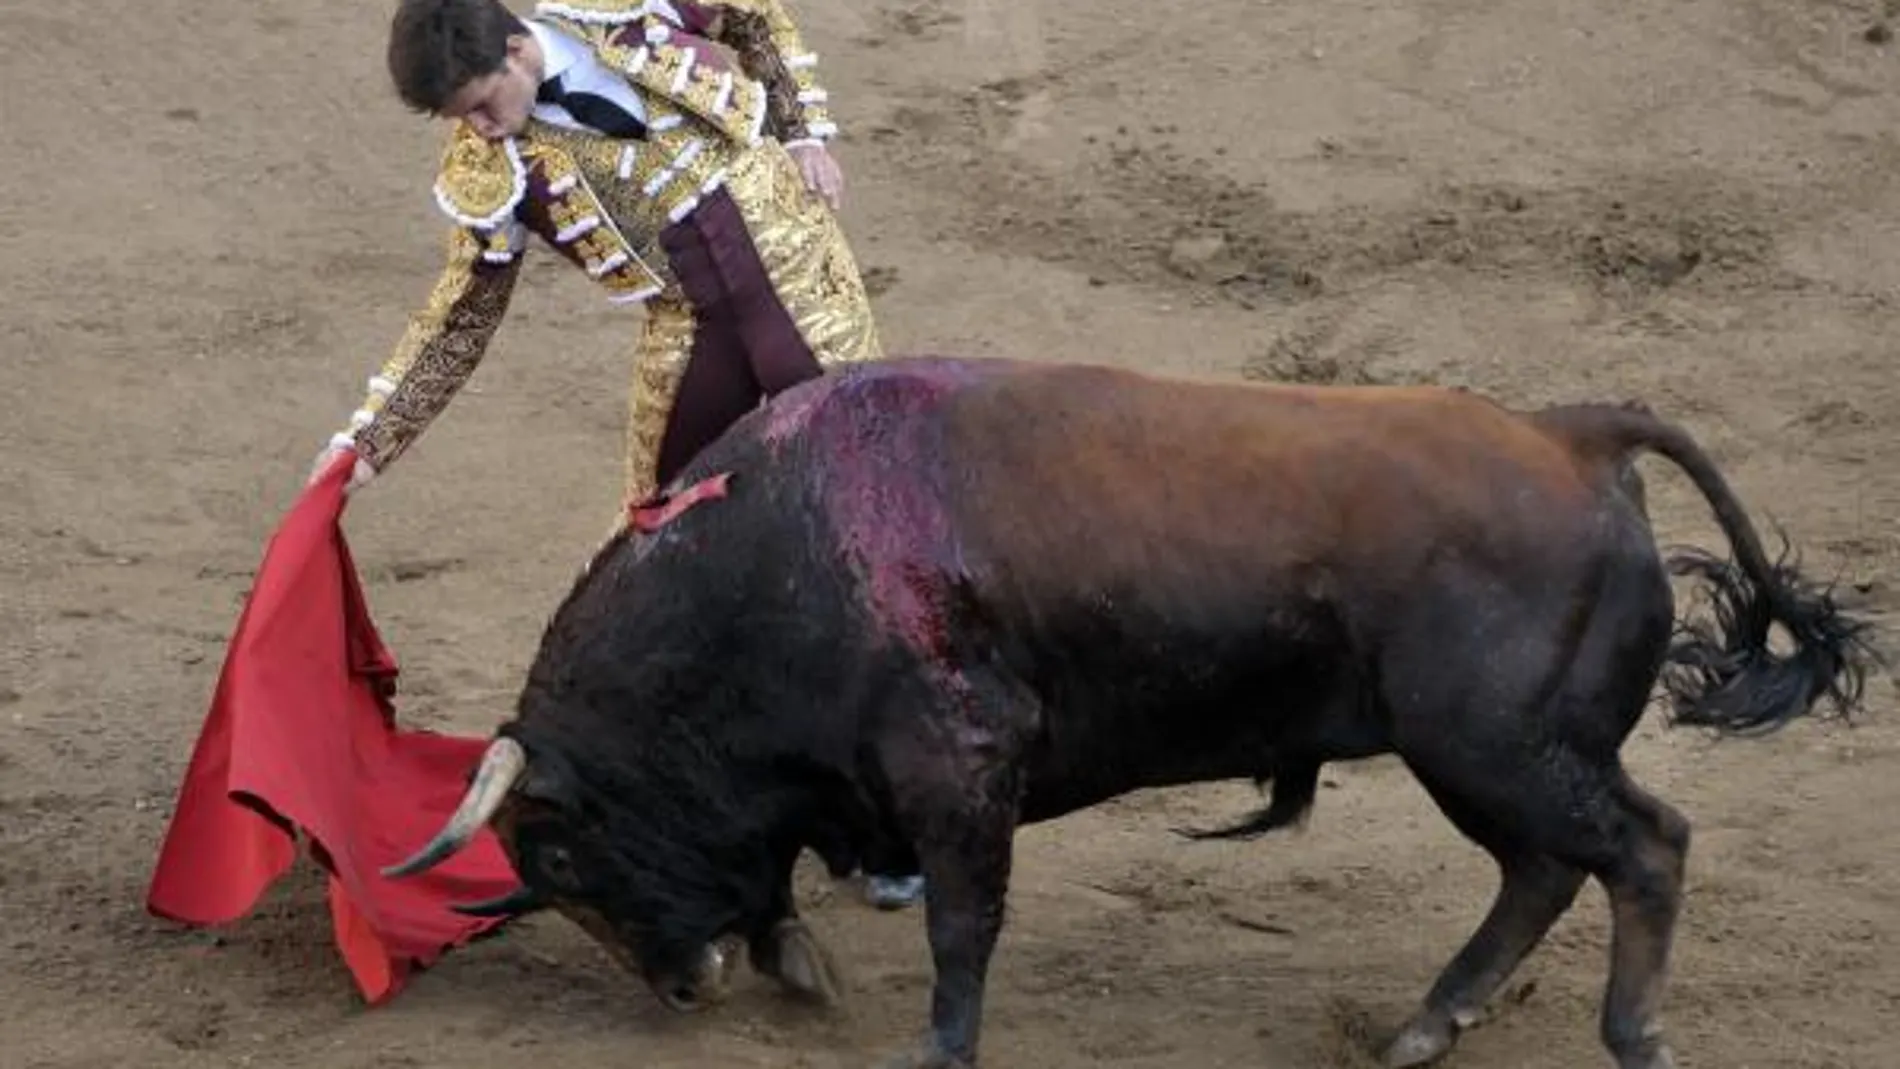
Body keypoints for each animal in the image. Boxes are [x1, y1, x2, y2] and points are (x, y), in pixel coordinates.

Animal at [381, 356, 1869, 1069]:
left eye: (560, 850)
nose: (682, 990)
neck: (778, 549)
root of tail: (1573, 435)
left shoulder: (957, 768)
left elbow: (963, 926)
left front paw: (935, 1046)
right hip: (1478, 758)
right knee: (1546, 872)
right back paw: (1423, 1026)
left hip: (1496, 745)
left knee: (1642, 848)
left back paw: (1632, 1037)